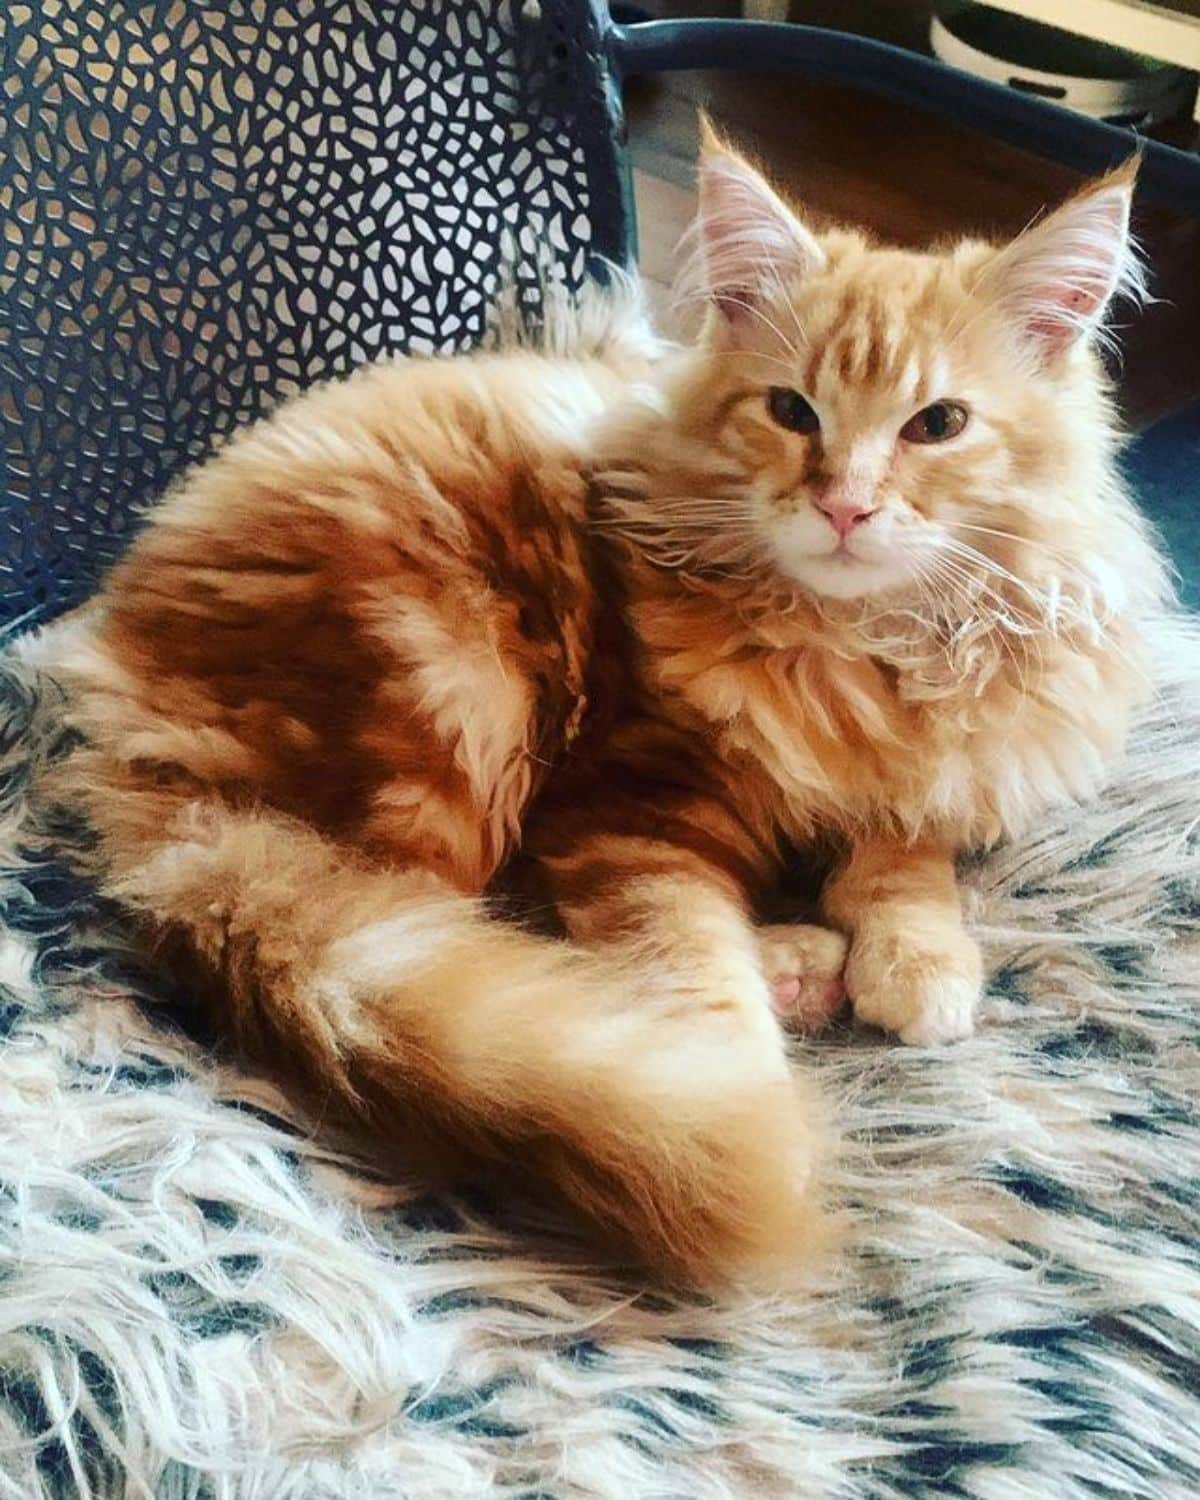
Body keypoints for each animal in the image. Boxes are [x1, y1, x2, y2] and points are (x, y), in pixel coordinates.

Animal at [28, 129, 1170, 1284]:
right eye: (791, 412)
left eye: (938, 425)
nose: (843, 505)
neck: (853, 656)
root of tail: (123, 697)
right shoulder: (633, 805)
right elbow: (690, 968)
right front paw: (747, 1123)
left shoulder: (945, 762)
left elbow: (906, 858)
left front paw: (919, 957)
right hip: (454, 699)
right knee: (453, 932)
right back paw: (786, 974)